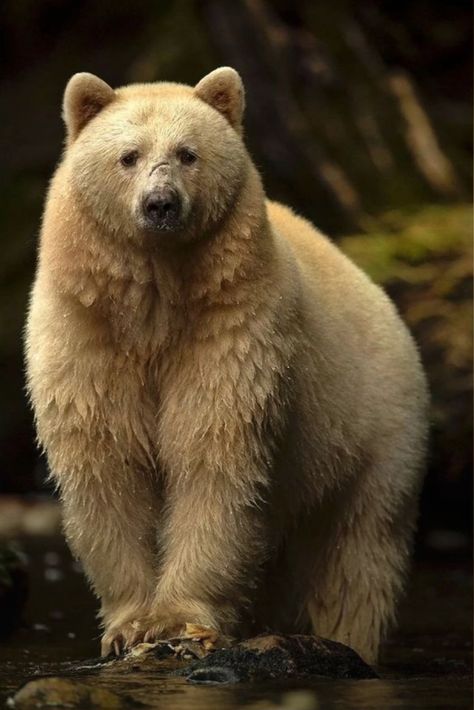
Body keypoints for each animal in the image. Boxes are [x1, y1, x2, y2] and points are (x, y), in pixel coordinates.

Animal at [24, 64, 428, 664]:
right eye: (128, 155)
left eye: (188, 153)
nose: (160, 203)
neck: (157, 303)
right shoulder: (88, 338)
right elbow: (109, 466)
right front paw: (127, 625)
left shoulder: (232, 334)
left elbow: (215, 459)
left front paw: (178, 621)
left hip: (375, 437)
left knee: (356, 558)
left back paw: (343, 637)